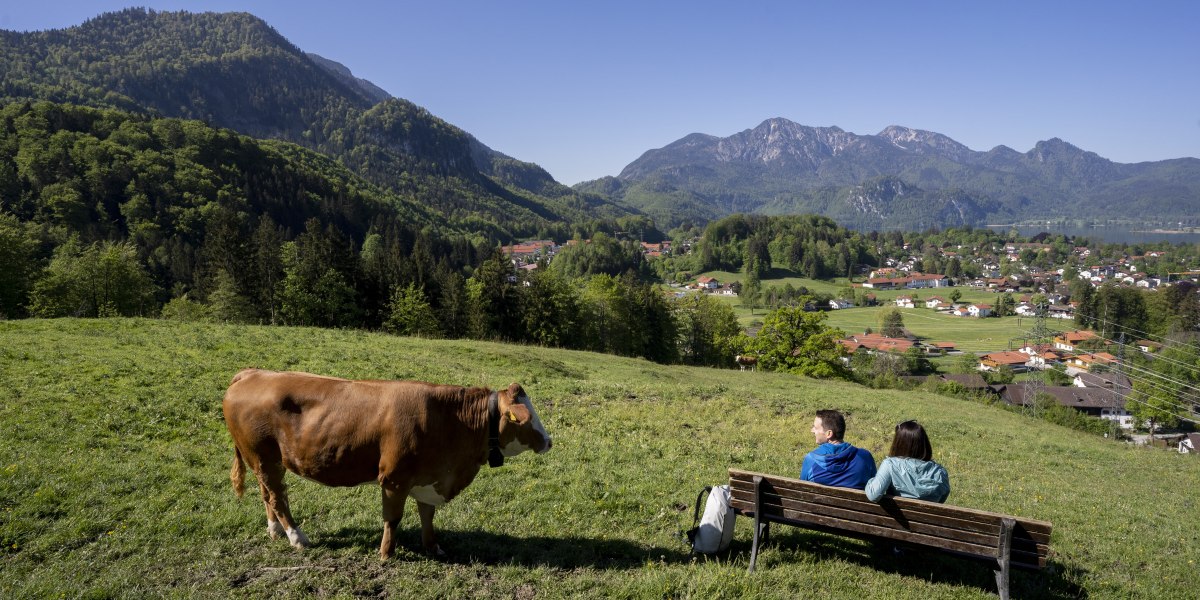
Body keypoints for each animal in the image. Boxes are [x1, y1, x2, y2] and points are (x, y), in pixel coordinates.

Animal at [224, 367, 552, 559]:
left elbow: (428, 515)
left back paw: (275, 531)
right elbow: (392, 519)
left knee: (269, 494)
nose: (549, 441)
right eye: (527, 418)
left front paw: (433, 546)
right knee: (277, 497)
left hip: (265, 461)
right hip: (263, 457)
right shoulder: (394, 479)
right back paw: (296, 536)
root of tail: (253, 373)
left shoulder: (428, 477)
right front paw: (386, 553)